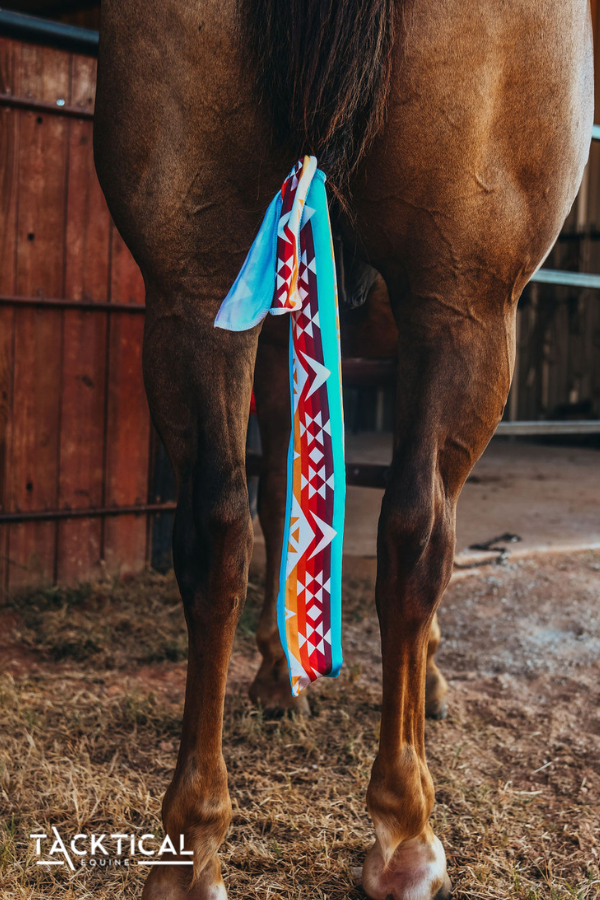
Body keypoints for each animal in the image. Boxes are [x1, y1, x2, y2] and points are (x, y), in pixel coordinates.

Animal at [92, 1, 592, 900]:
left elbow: (278, 500)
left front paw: (281, 674)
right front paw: (423, 677)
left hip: (193, 284)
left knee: (217, 529)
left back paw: (192, 841)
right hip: (464, 303)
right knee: (416, 530)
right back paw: (405, 830)